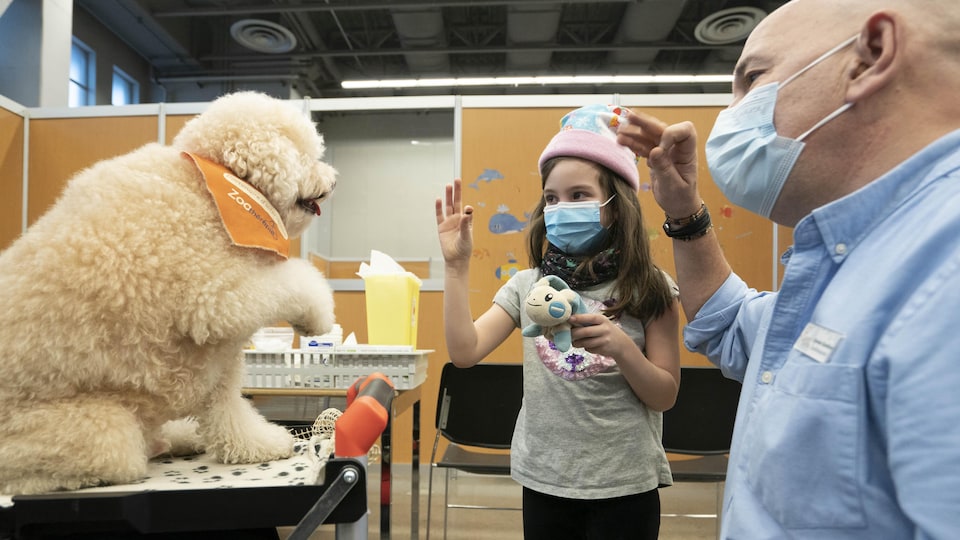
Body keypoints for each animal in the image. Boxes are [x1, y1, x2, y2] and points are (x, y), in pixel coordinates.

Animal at [0, 90, 338, 496]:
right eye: (306, 156)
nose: (334, 179)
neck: (213, 188)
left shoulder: (219, 360)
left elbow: (229, 413)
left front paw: (256, 446)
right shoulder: (216, 295)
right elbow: (296, 280)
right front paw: (317, 315)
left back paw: (176, 437)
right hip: (99, 431)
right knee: (43, 472)